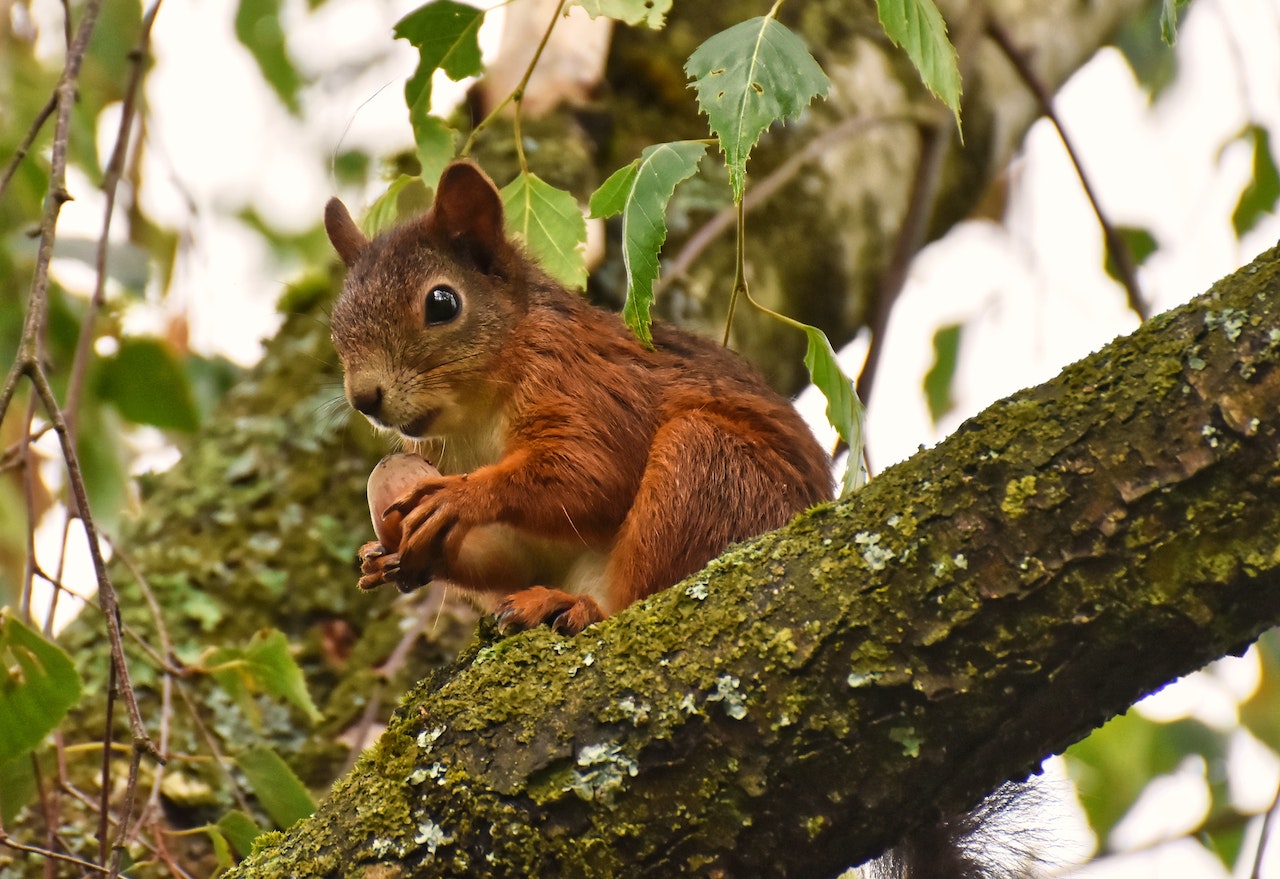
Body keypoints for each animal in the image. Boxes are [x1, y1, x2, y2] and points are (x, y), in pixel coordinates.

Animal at [325, 161, 834, 637]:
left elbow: (591, 472)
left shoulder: (584, 384)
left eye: (442, 303)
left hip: (715, 473)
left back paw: (574, 606)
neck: (475, 419)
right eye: (336, 324)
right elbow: (513, 559)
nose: (364, 398)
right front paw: (386, 557)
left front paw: (461, 495)